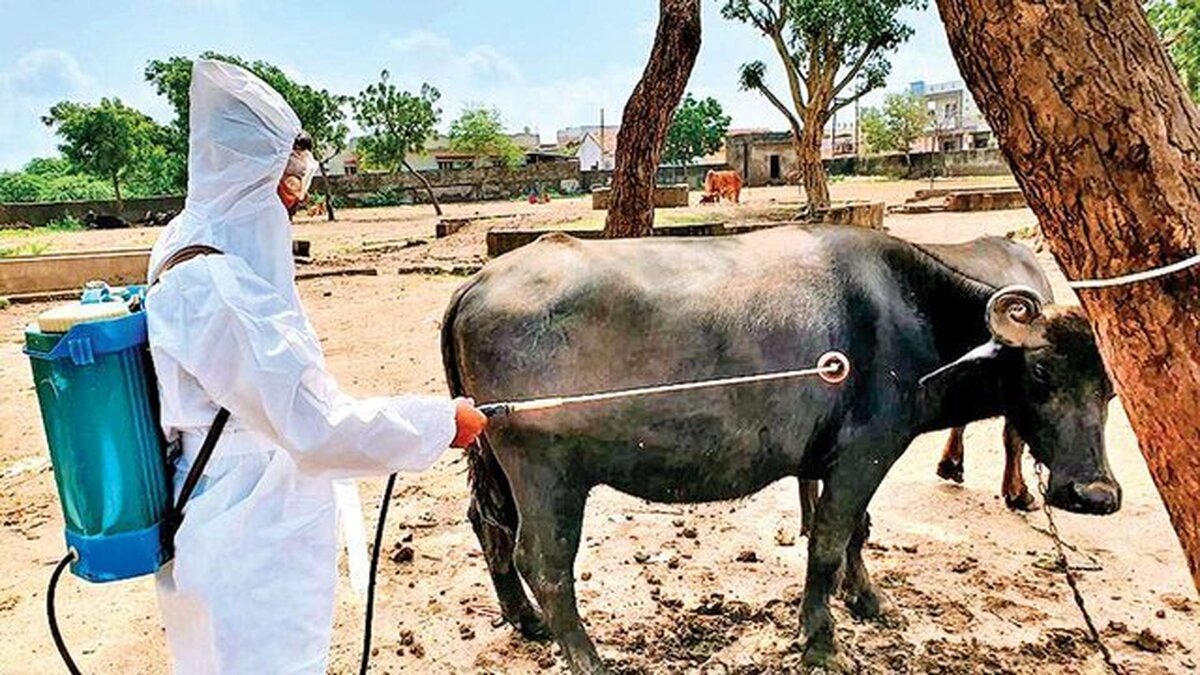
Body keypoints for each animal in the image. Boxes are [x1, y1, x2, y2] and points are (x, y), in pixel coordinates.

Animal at [444, 224, 1123, 667]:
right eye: (1040, 373)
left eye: (1110, 387)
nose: (1096, 494)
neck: (910, 321)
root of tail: (478, 285)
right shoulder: (863, 456)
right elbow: (826, 543)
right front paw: (821, 640)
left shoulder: (842, 461)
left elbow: (857, 533)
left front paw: (868, 599)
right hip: (547, 471)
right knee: (545, 560)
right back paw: (587, 656)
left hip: (494, 461)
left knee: (489, 527)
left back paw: (527, 620)